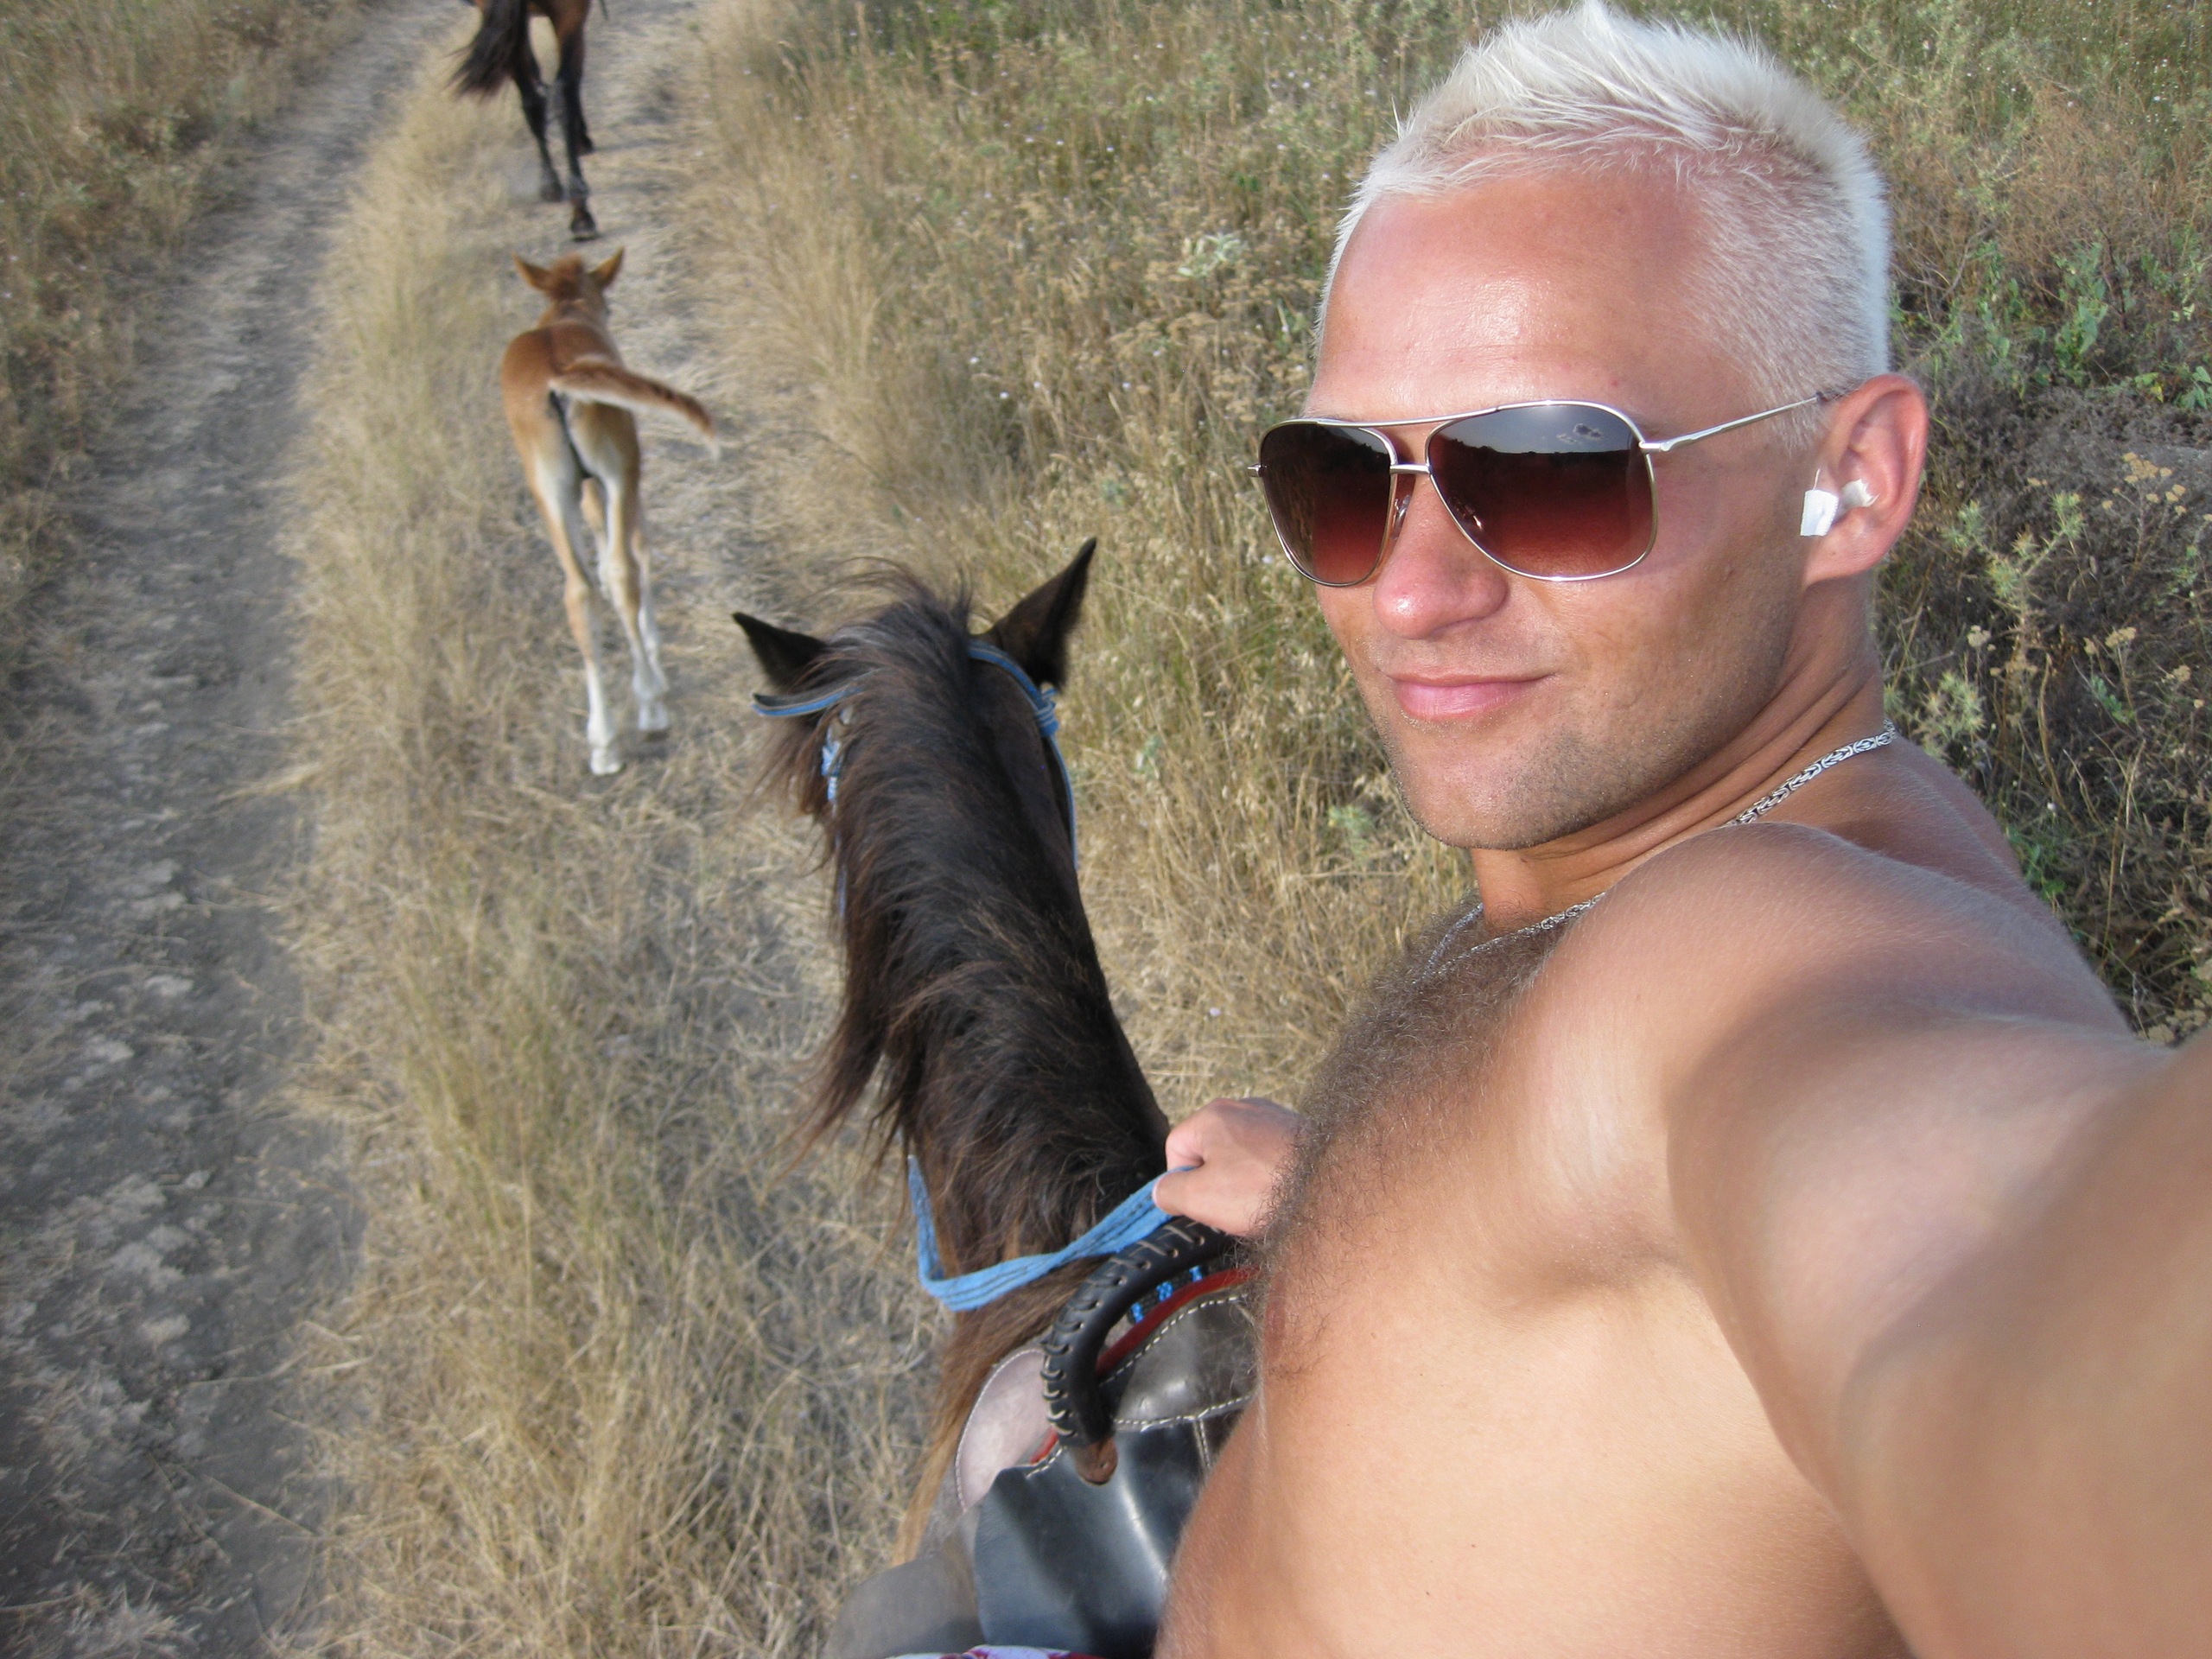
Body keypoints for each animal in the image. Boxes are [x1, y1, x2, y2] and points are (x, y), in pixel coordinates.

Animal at [452, 0, 602, 240]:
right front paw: (582, 139)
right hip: (570, 15)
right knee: (560, 92)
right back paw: (581, 211)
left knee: (534, 100)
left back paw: (554, 189)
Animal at [502, 249, 714, 774]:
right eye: (610, 305)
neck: (566, 312)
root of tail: (560, 377)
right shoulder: (618, 473)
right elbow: (637, 548)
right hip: (622, 465)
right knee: (625, 570)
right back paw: (651, 706)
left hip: (547, 486)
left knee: (578, 593)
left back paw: (603, 742)